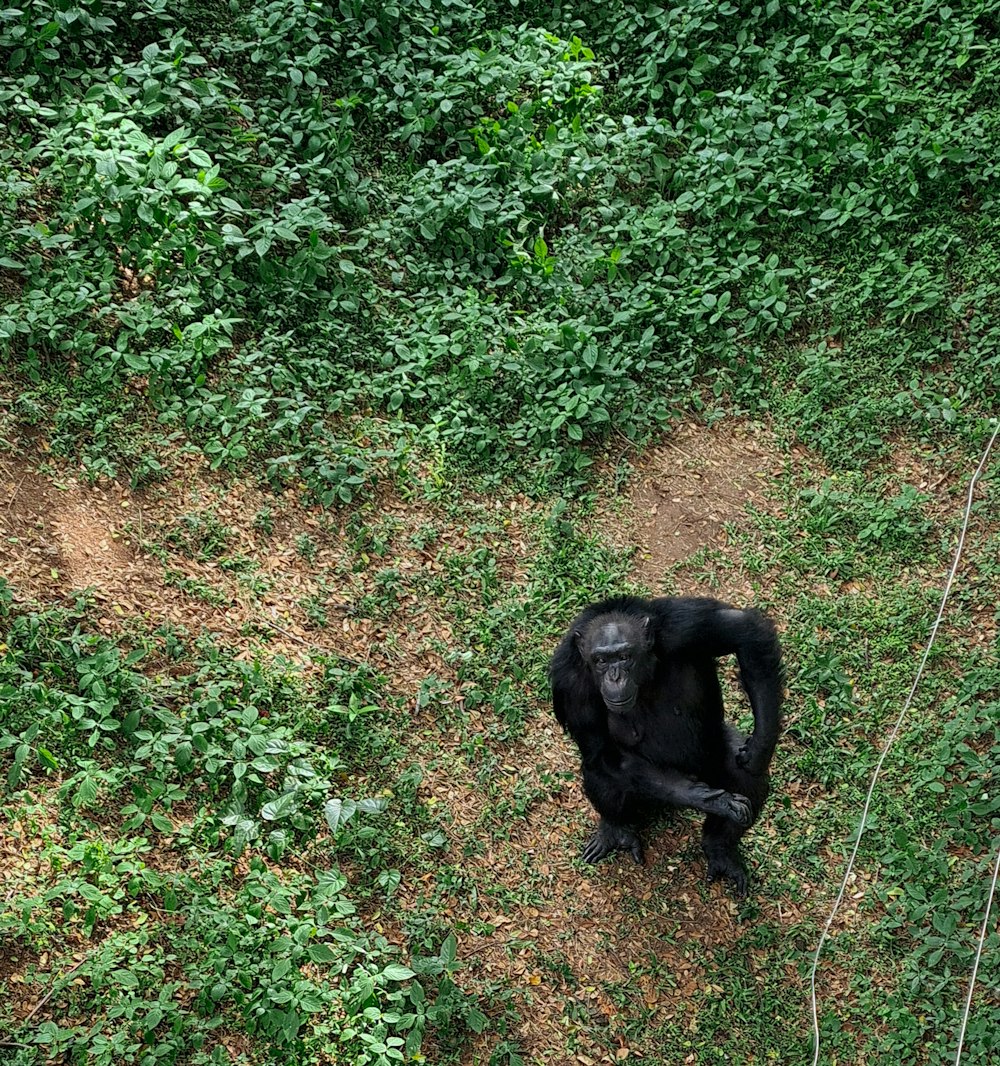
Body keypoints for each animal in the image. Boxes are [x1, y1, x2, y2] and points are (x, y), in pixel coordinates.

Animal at [550, 596, 784, 895]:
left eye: (624, 656)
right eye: (601, 660)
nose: (615, 676)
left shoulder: (681, 625)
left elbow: (743, 631)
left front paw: (760, 748)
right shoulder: (570, 685)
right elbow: (603, 751)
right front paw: (712, 800)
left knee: (743, 775)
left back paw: (720, 847)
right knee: (601, 770)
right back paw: (616, 830)